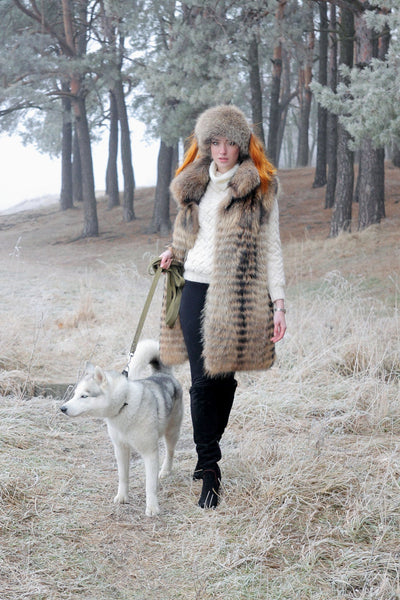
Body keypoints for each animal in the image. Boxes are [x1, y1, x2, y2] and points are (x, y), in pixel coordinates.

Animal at [60, 340, 184, 516]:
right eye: (75, 394)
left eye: (84, 396)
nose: (62, 408)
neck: (124, 405)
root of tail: (164, 375)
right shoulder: (120, 449)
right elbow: (123, 477)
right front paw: (122, 497)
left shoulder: (150, 452)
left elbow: (150, 485)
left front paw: (152, 507)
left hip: (172, 433)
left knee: (170, 451)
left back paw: (166, 471)